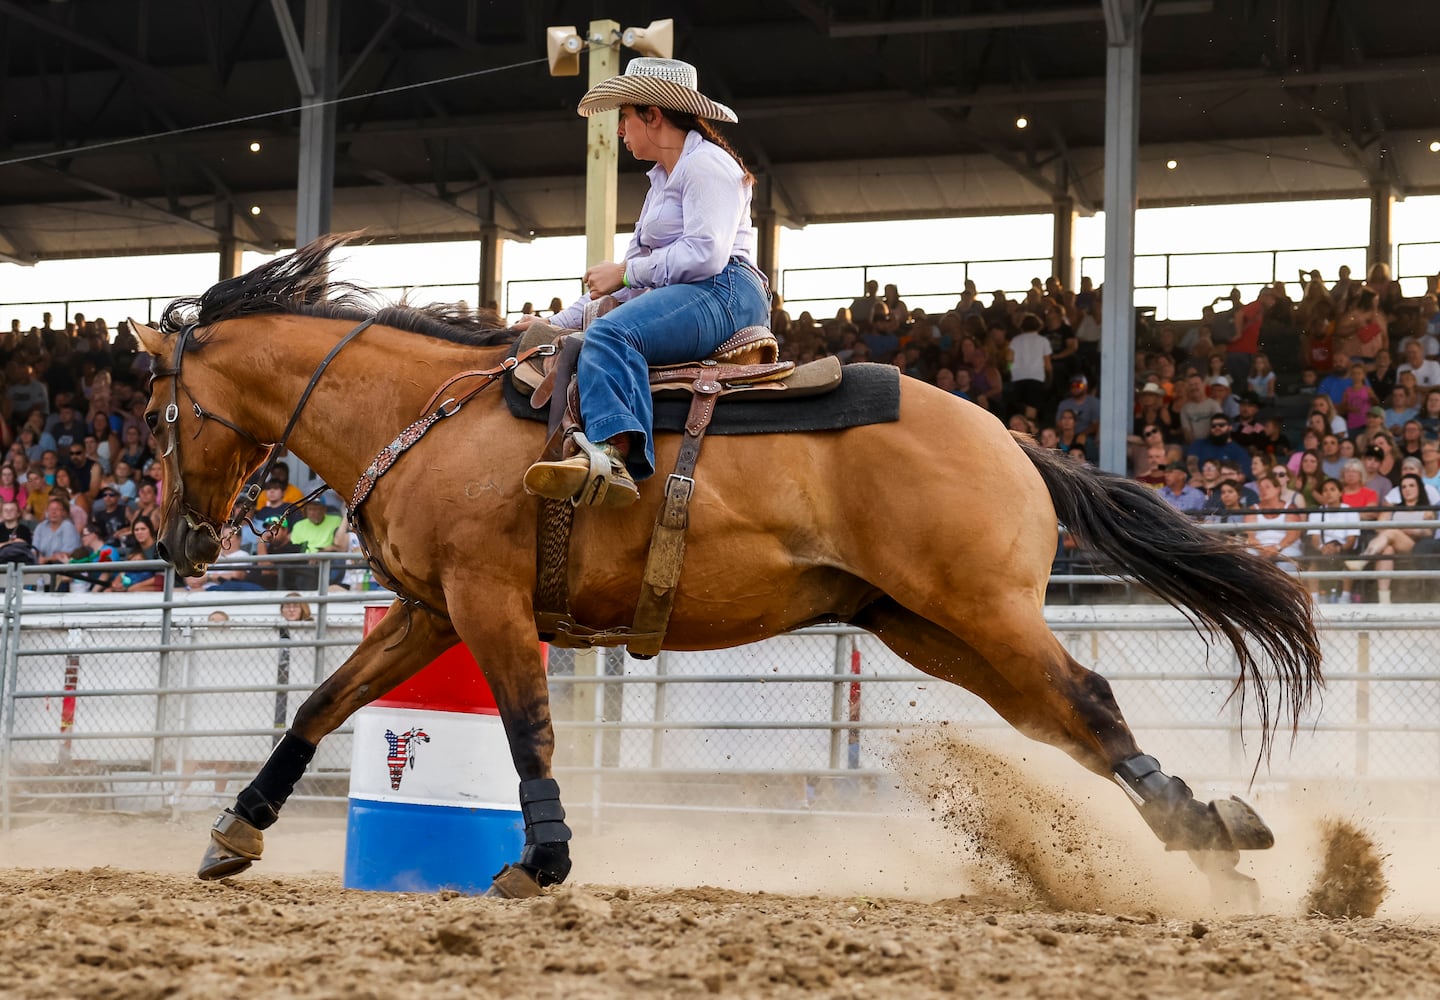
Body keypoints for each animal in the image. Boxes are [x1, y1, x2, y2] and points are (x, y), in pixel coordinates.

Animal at [129, 239, 1319, 904]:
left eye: (152, 412)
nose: (181, 542)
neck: (431, 415)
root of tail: (1012, 441)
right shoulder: (430, 611)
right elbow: (322, 705)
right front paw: (234, 830)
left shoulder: (487, 603)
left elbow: (527, 730)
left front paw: (542, 863)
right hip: (932, 626)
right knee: (1065, 723)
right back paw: (1213, 835)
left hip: (978, 609)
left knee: (1092, 699)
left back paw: (1212, 841)